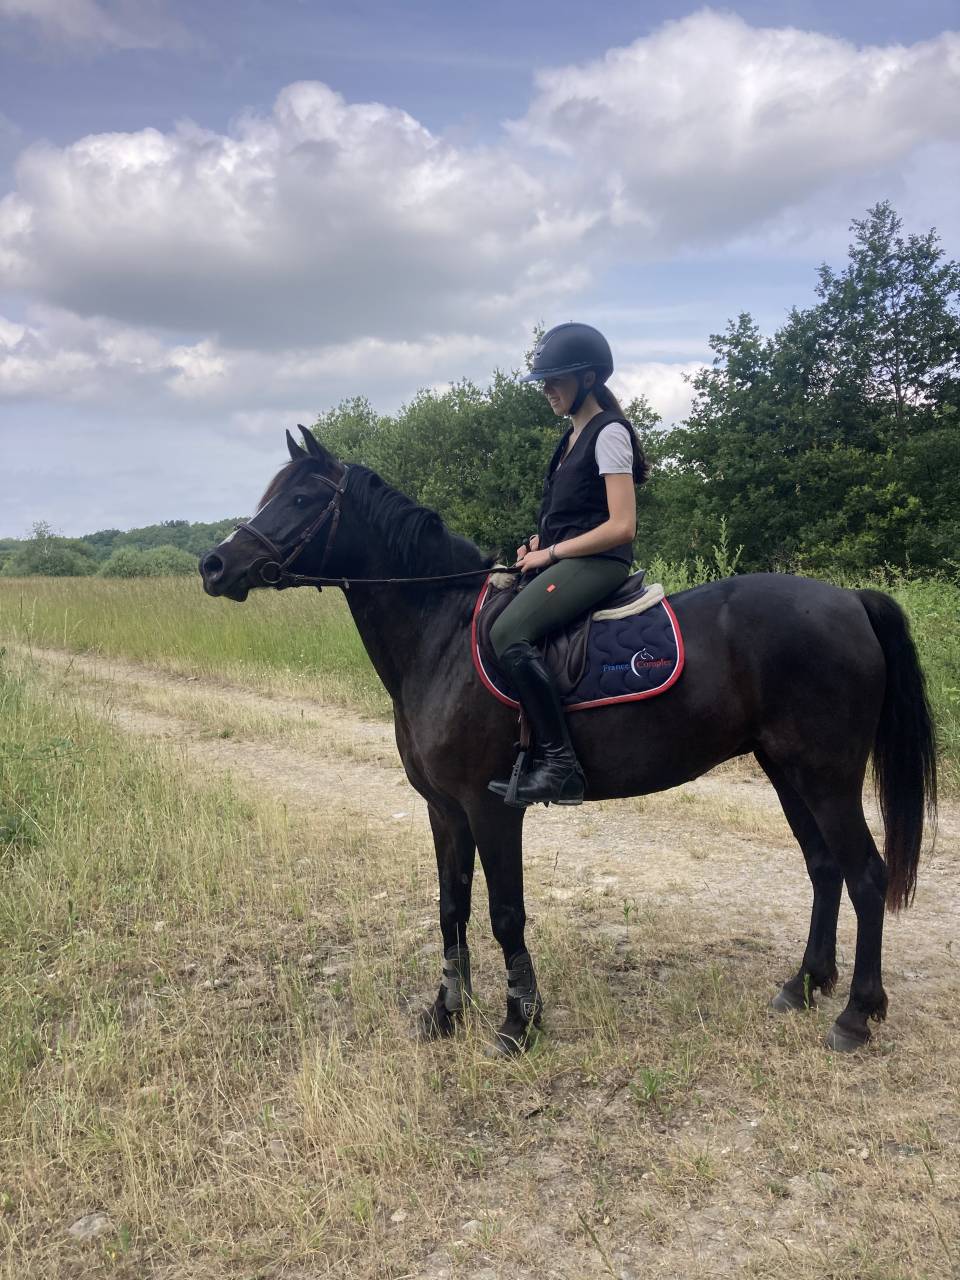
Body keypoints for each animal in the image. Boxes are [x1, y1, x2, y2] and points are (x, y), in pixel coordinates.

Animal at [199, 426, 937, 1056]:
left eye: (300, 498)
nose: (213, 566)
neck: (441, 637)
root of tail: (848, 600)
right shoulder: (443, 809)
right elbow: (450, 907)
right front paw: (446, 1012)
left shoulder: (491, 807)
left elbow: (505, 913)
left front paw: (518, 1023)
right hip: (787, 771)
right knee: (824, 868)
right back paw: (804, 986)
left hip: (827, 776)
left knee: (866, 875)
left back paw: (856, 1015)